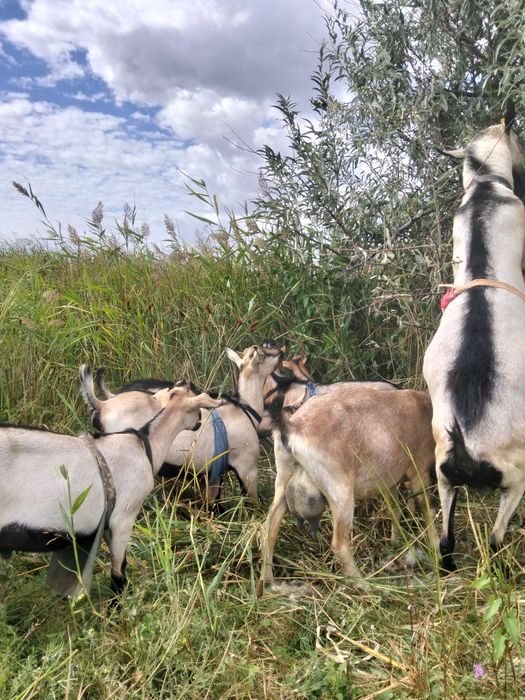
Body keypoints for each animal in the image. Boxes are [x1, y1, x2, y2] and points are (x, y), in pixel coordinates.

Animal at [0, 376, 221, 596]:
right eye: (197, 407)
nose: (198, 423)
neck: (144, 445)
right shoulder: (123, 518)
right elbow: (118, 573)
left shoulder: (106, 523)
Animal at [81, 345, 284, 502]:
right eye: (264, 353)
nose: (281, 350)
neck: (244, 409)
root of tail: (102, 405)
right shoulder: (247, 468)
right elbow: (254, 503)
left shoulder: (213, 474)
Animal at [259, 385, 436, 589]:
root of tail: (293, 426)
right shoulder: (419, 472)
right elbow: (427, 509)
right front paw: (436, 549)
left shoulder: (388, 480)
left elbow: (395, 510)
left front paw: (395, 542)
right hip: (339, 491)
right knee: (339, 545)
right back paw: (363, 584)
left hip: (283, 480)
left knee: (269, 530)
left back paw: (267, 582)